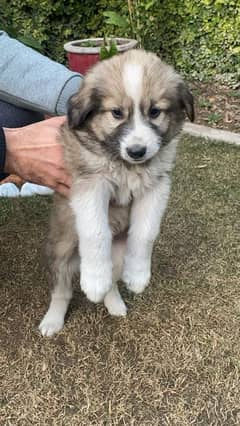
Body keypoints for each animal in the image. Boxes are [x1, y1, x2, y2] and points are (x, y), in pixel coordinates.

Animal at [39, 50, 193, 336]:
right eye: (117, 113)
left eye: (155, 112)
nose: (137, 151)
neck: (125, 165)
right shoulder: (90, 183)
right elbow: (95, 231)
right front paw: (93, 279)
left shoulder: (156, 186)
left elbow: (145, 233)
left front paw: (138, 274)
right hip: (62, 249)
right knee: (62, 290)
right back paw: (54, 319)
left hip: (117, 254)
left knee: (112, 280)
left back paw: (114, 302)